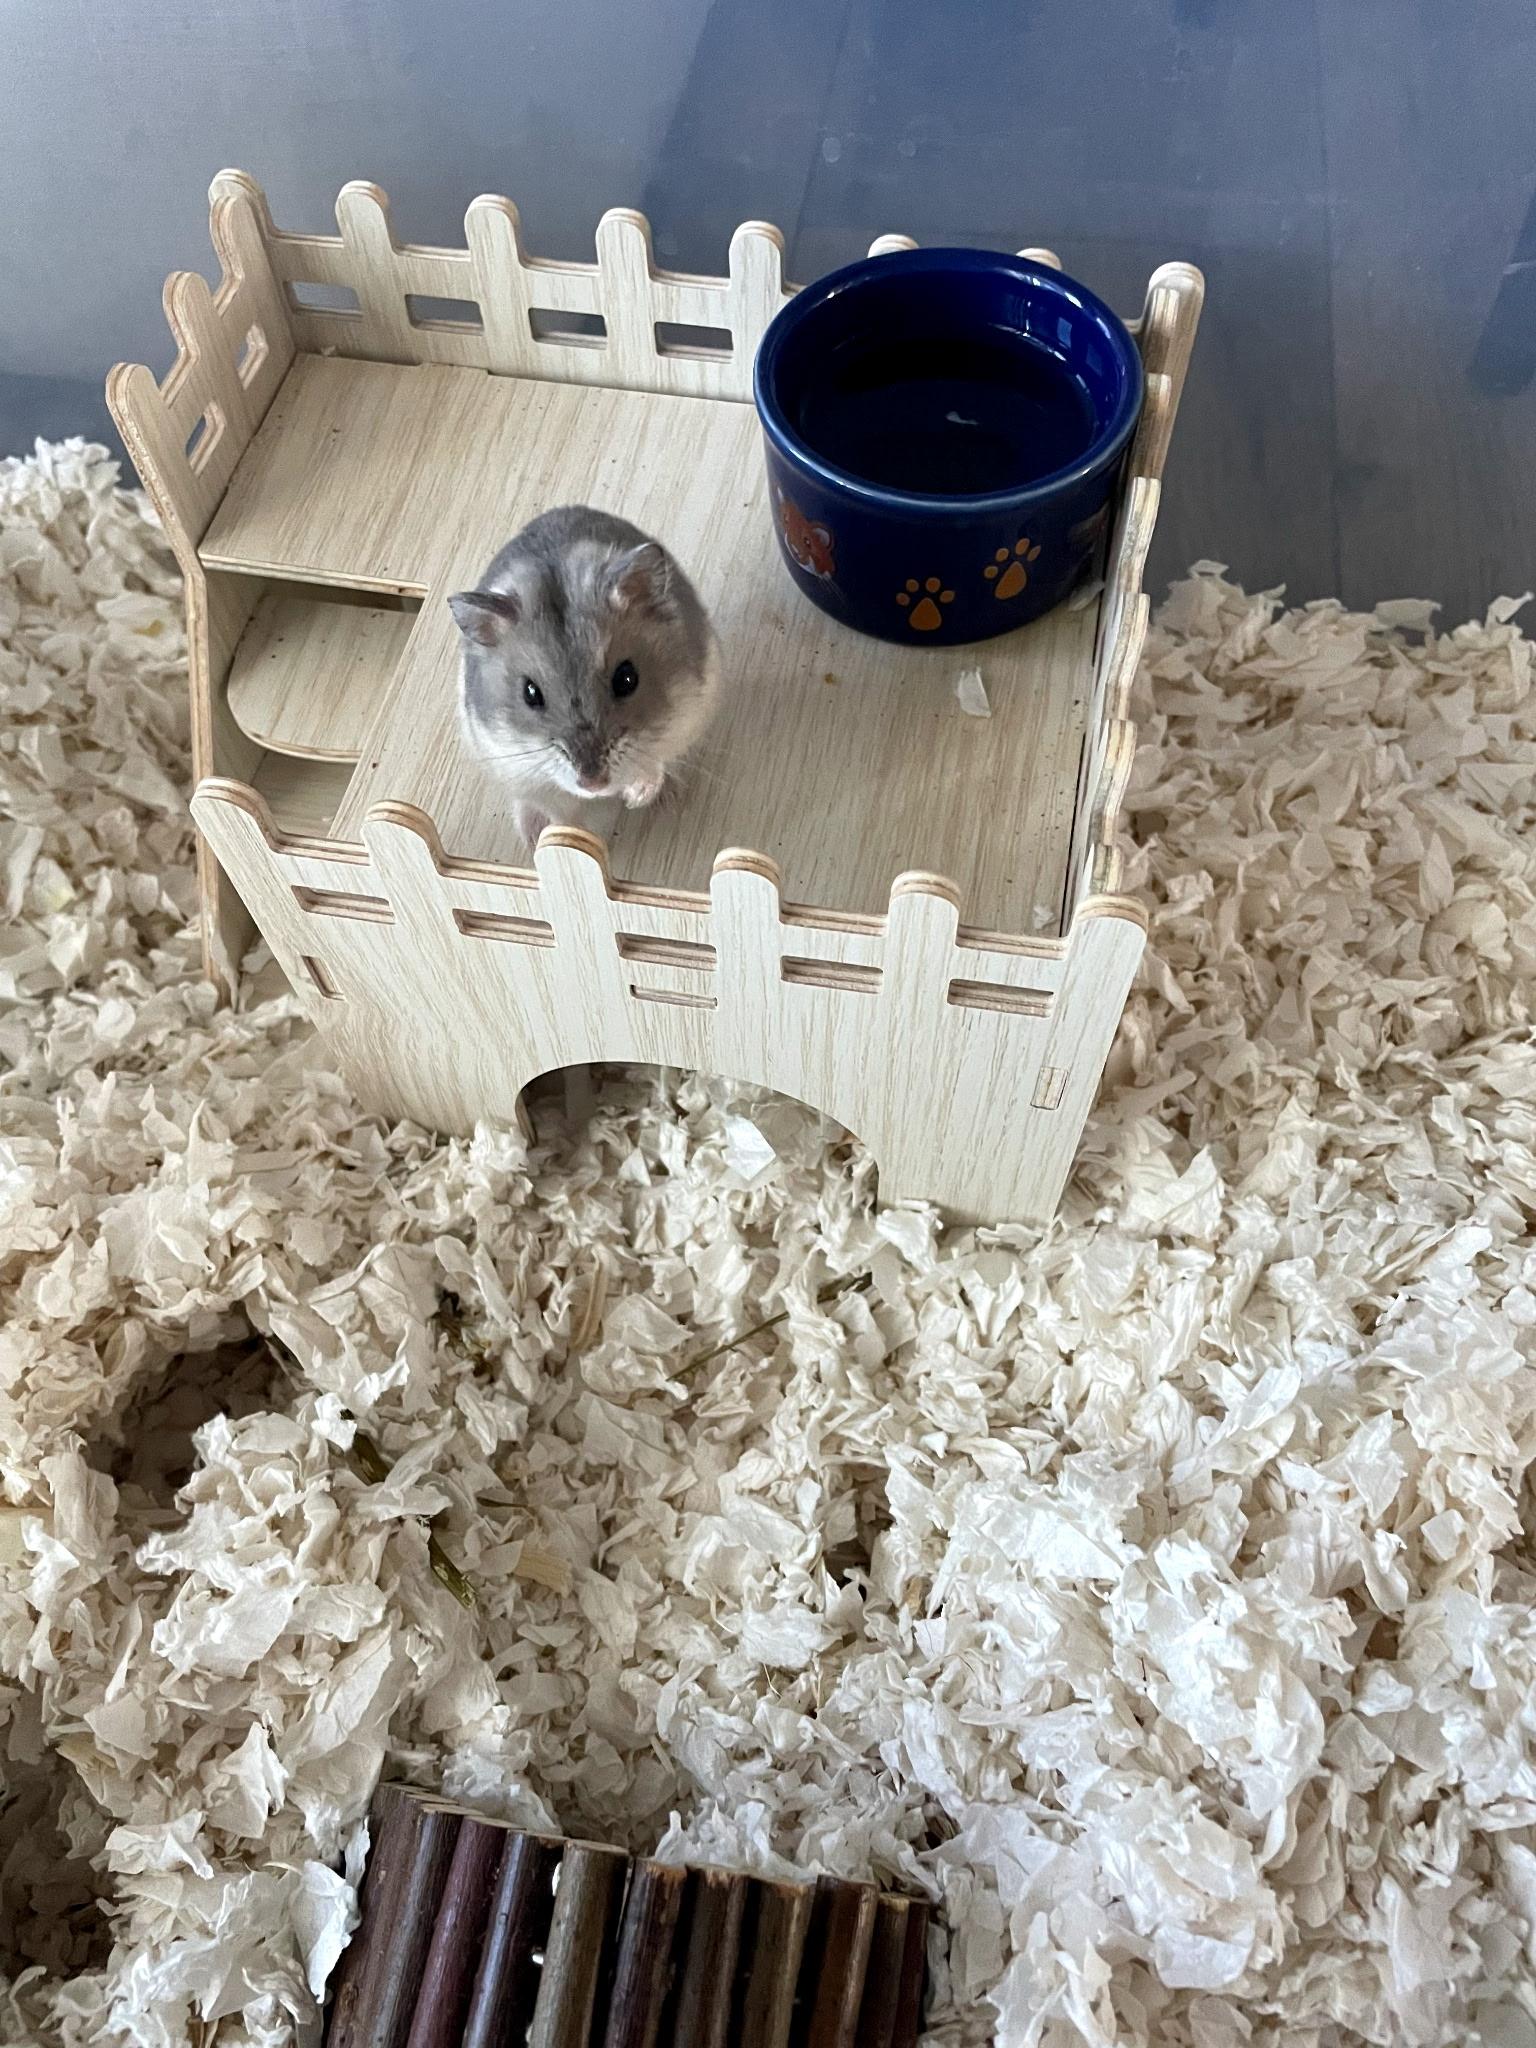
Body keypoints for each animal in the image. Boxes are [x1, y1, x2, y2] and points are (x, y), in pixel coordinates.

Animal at [449, 505, 721, 850]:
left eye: (627, 679)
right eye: (530, 693)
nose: (594, 783)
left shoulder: (685, 719)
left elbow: (654, 762)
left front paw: (636, 798)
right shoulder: (525, 773)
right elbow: (563, 816)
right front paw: (565, 844)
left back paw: (666, 799)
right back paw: (532, 835)